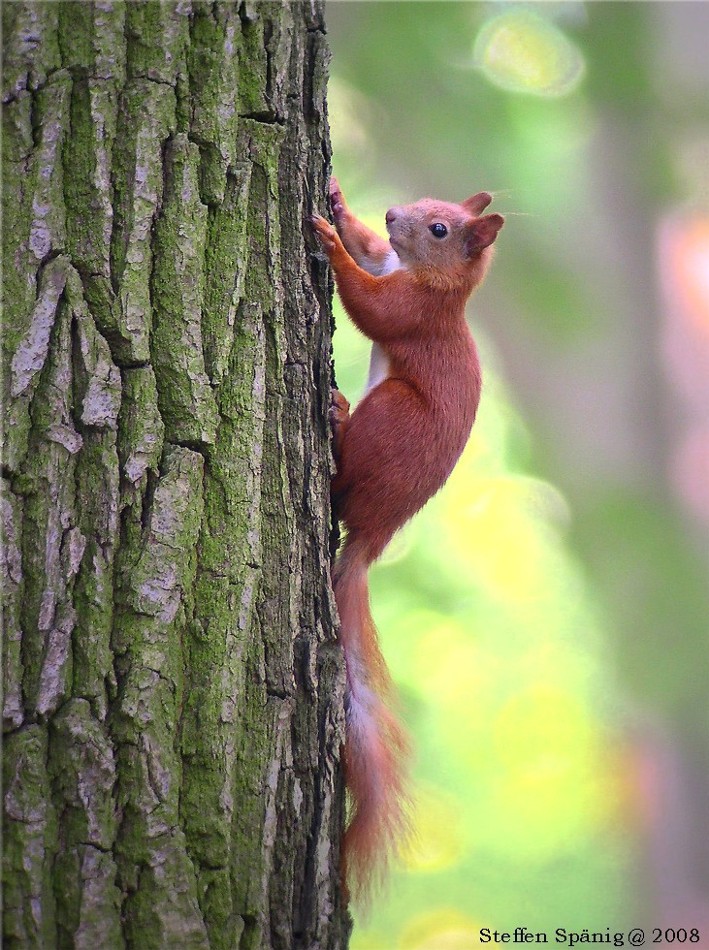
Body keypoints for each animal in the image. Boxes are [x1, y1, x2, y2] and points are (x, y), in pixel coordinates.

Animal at [312, 177, 504, 900]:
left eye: (441, 230)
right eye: (421, 205)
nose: (395, 213)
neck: (433, 282)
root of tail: (375, 534)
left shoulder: (414, 313)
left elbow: (371, 308)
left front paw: (327, 241)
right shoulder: (391, 263)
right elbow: (372, 252)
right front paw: (340, 206)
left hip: (391, 417)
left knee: (343, 484)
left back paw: (338, 419)